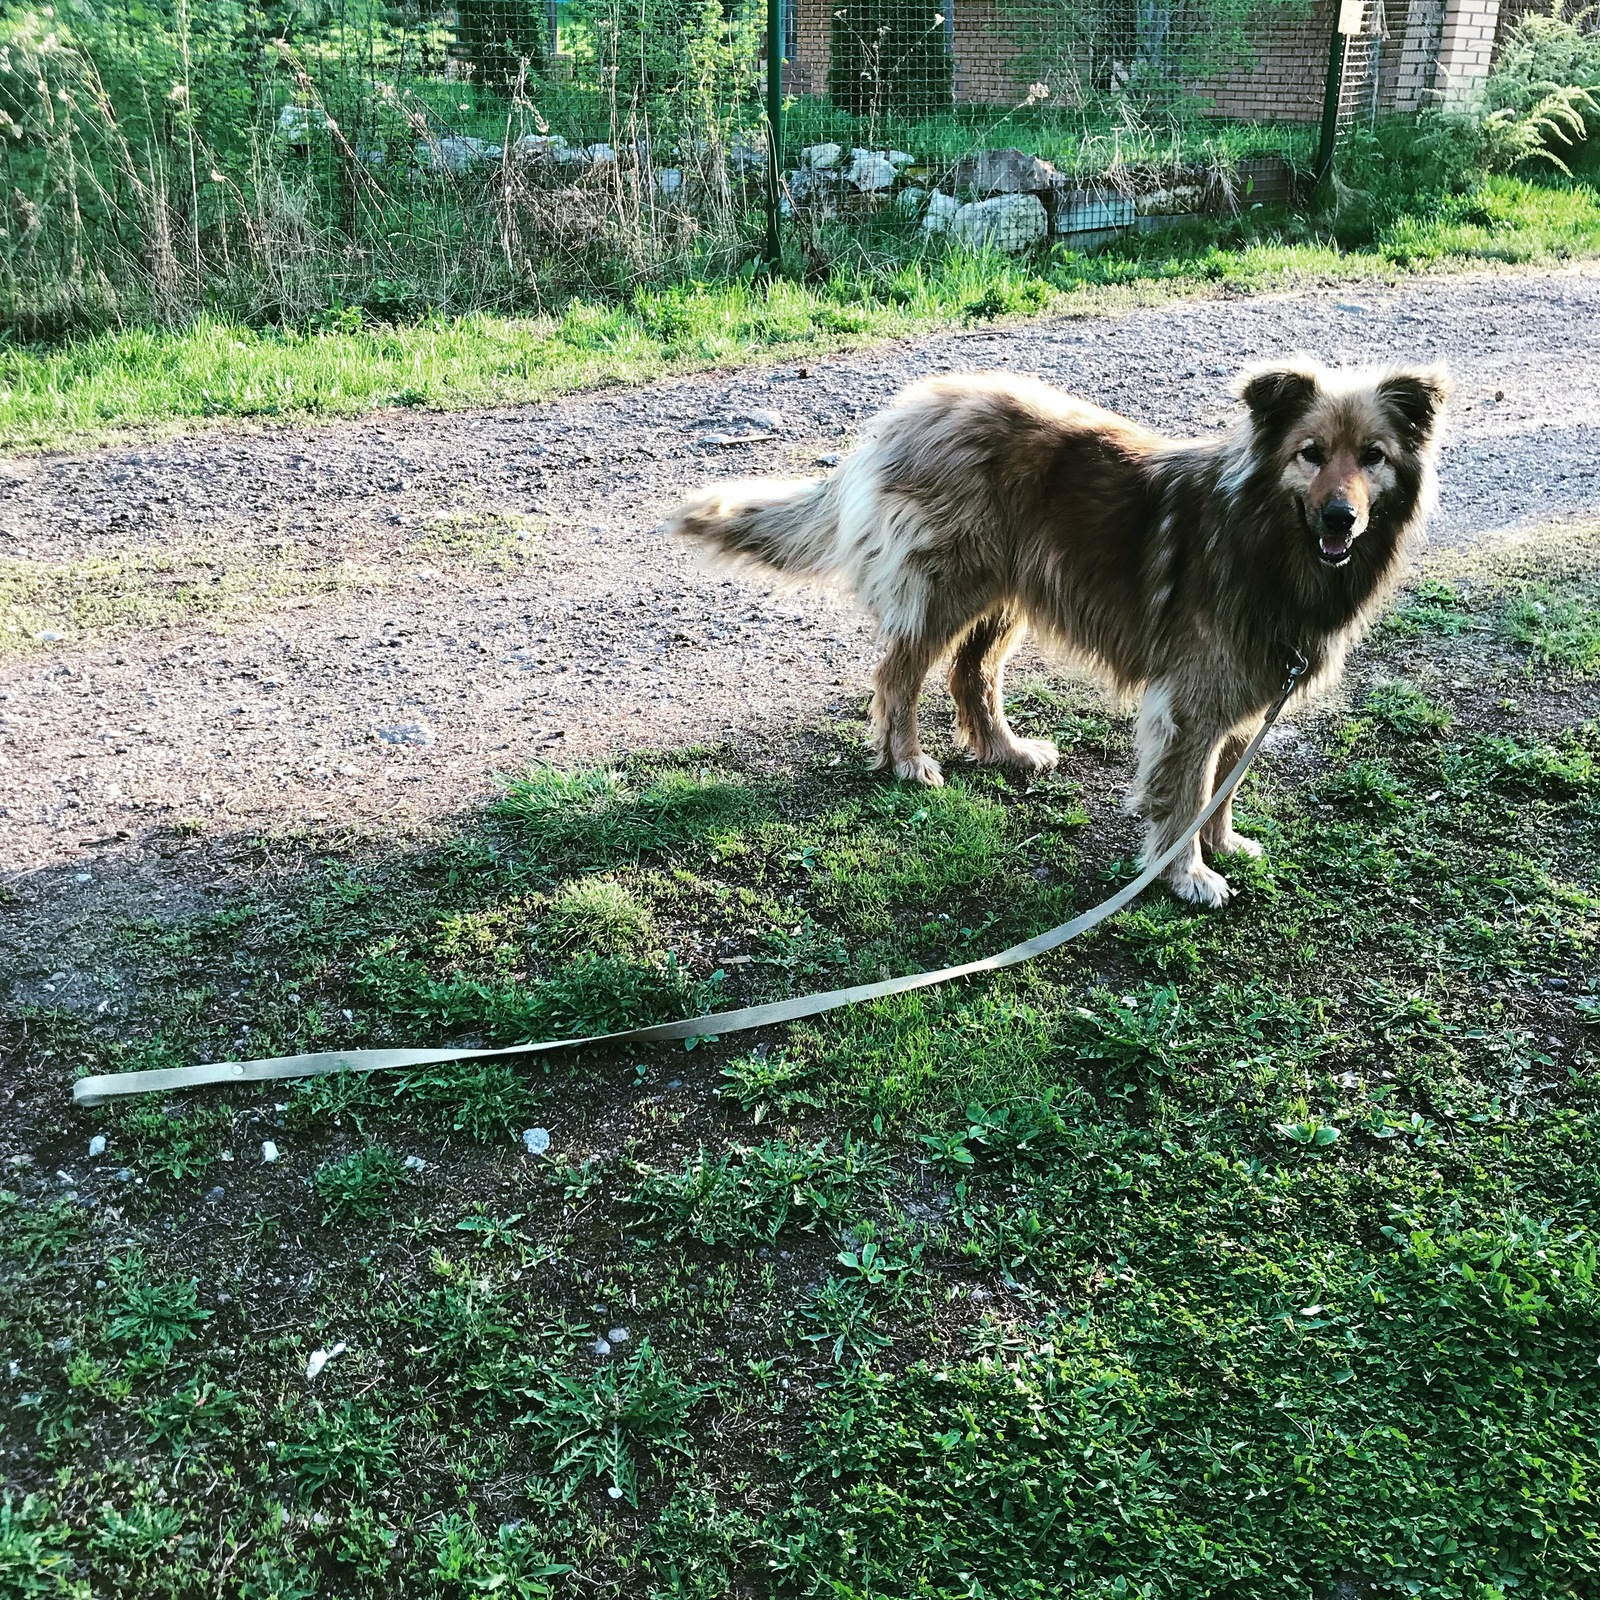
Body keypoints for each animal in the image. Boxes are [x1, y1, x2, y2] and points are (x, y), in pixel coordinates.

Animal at [665, 363, 1452, 908]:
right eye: (1310, 452)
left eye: (1374, 456)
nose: (1341, 519)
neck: (1266, 540)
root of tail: (907, 411)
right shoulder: (1193, 702)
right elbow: (1186, 792)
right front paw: (1187, 873)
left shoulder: (1247, 685)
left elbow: (1223, 786)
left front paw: (1224, 844)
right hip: (948, 591)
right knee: (898, 676)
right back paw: (908, 762)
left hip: (1005, 597)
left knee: (971, 677)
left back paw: (1007, 752)